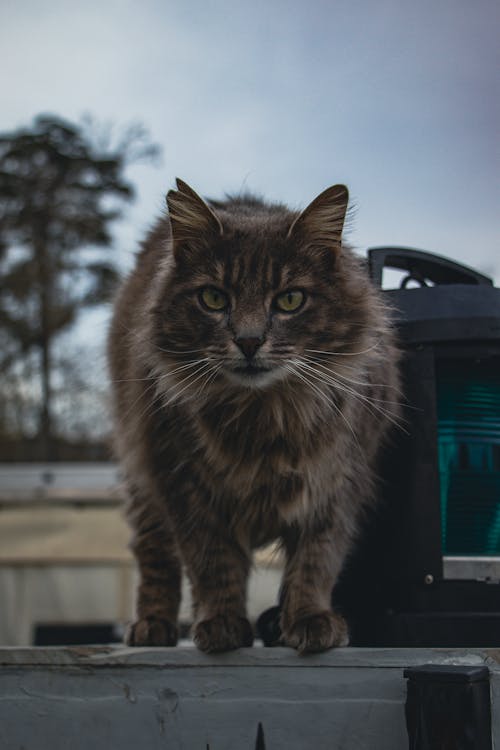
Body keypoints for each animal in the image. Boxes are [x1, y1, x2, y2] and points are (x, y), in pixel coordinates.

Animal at [107, 179, 400, 656]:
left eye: (290, 300)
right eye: (213, 298)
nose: (248, 341)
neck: (264, 413)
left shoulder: (337, 485)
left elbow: (315, 561)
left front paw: (309, 621)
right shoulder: (182, 481)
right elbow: (213, 564)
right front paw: (223, 624)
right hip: (140, 473)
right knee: (155, 554)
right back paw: (153, 625)